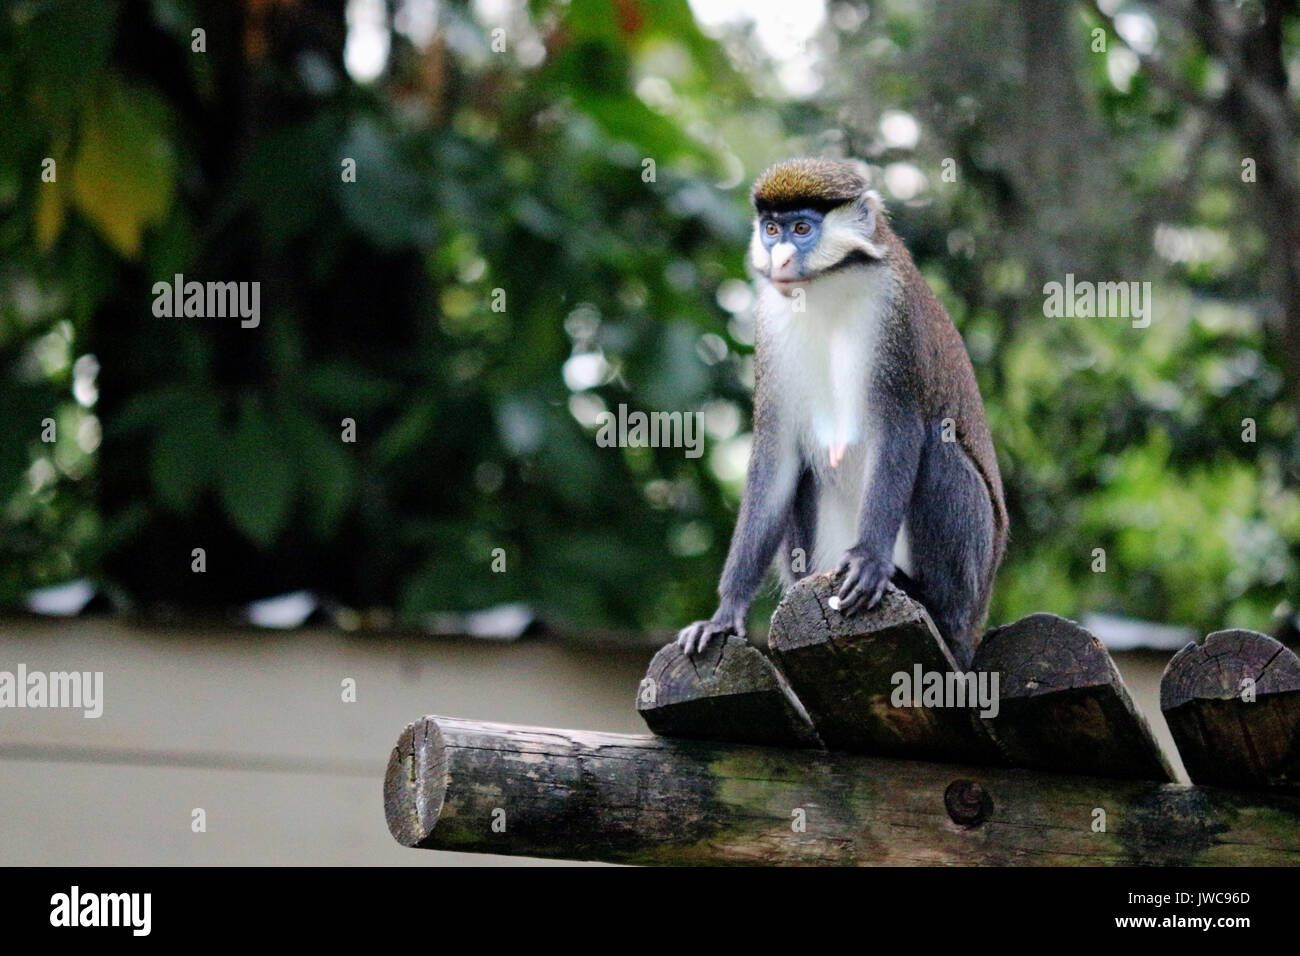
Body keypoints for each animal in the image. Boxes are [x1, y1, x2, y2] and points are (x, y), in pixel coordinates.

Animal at [675, 157, 1006, 670]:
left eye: (803, 228)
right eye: (771, 229)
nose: (780, 259)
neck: (826, 288)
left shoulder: (894, 321)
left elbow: (900, 432)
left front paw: (869, 559)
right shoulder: (769, 324)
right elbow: (777, 461)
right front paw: (724, 614)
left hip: (972, 579)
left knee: (939, 446)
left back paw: (929, 602)